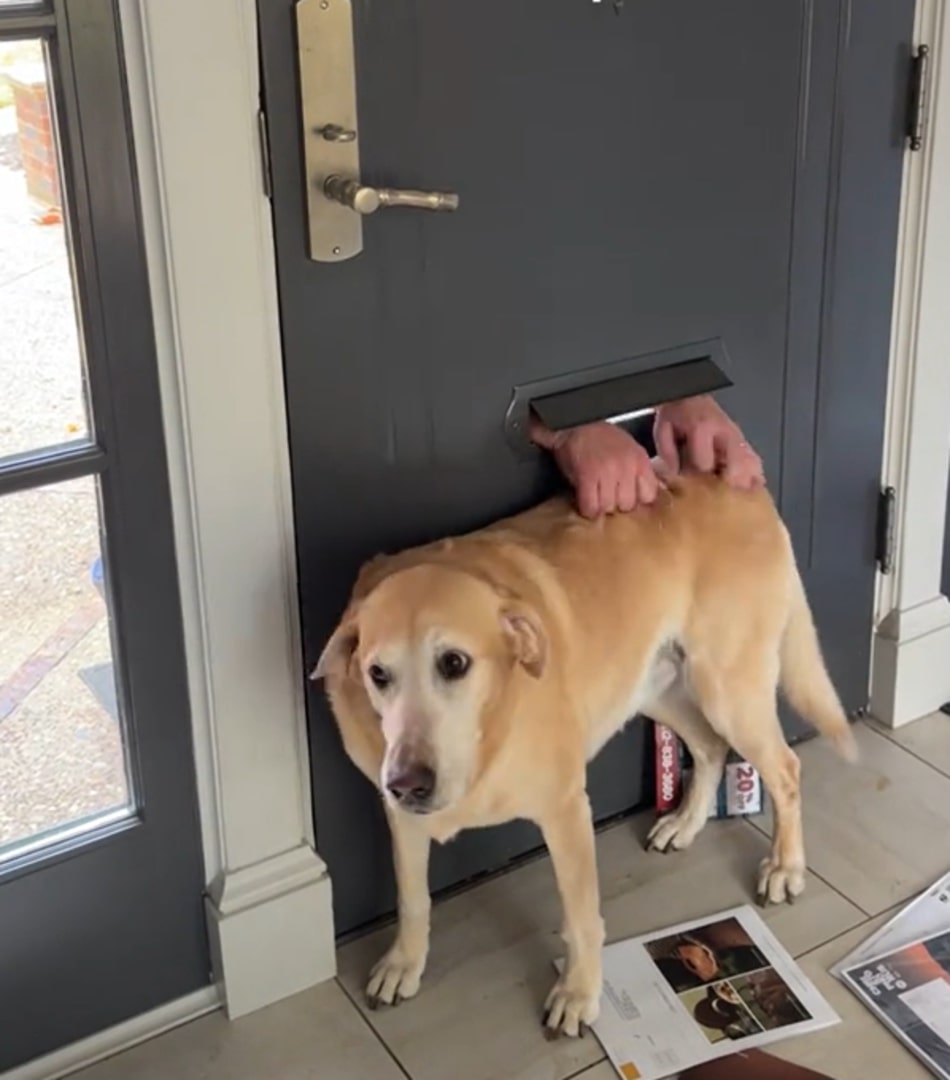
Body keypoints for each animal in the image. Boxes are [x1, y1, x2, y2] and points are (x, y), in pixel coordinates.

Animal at [310, 473, 855, 1036]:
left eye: (454, 663)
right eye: (377, 674)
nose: (408, 783)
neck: (488, 731)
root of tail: (732, 478)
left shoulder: (566, 812)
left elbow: (579, 918)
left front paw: (577, 993)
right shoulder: (401, 817)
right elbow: (412, 896)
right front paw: (404, 962)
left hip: (728, 690)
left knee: (785, 769)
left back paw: (784, 867)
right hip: (655, 689)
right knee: (709, 747)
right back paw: (685, 824)